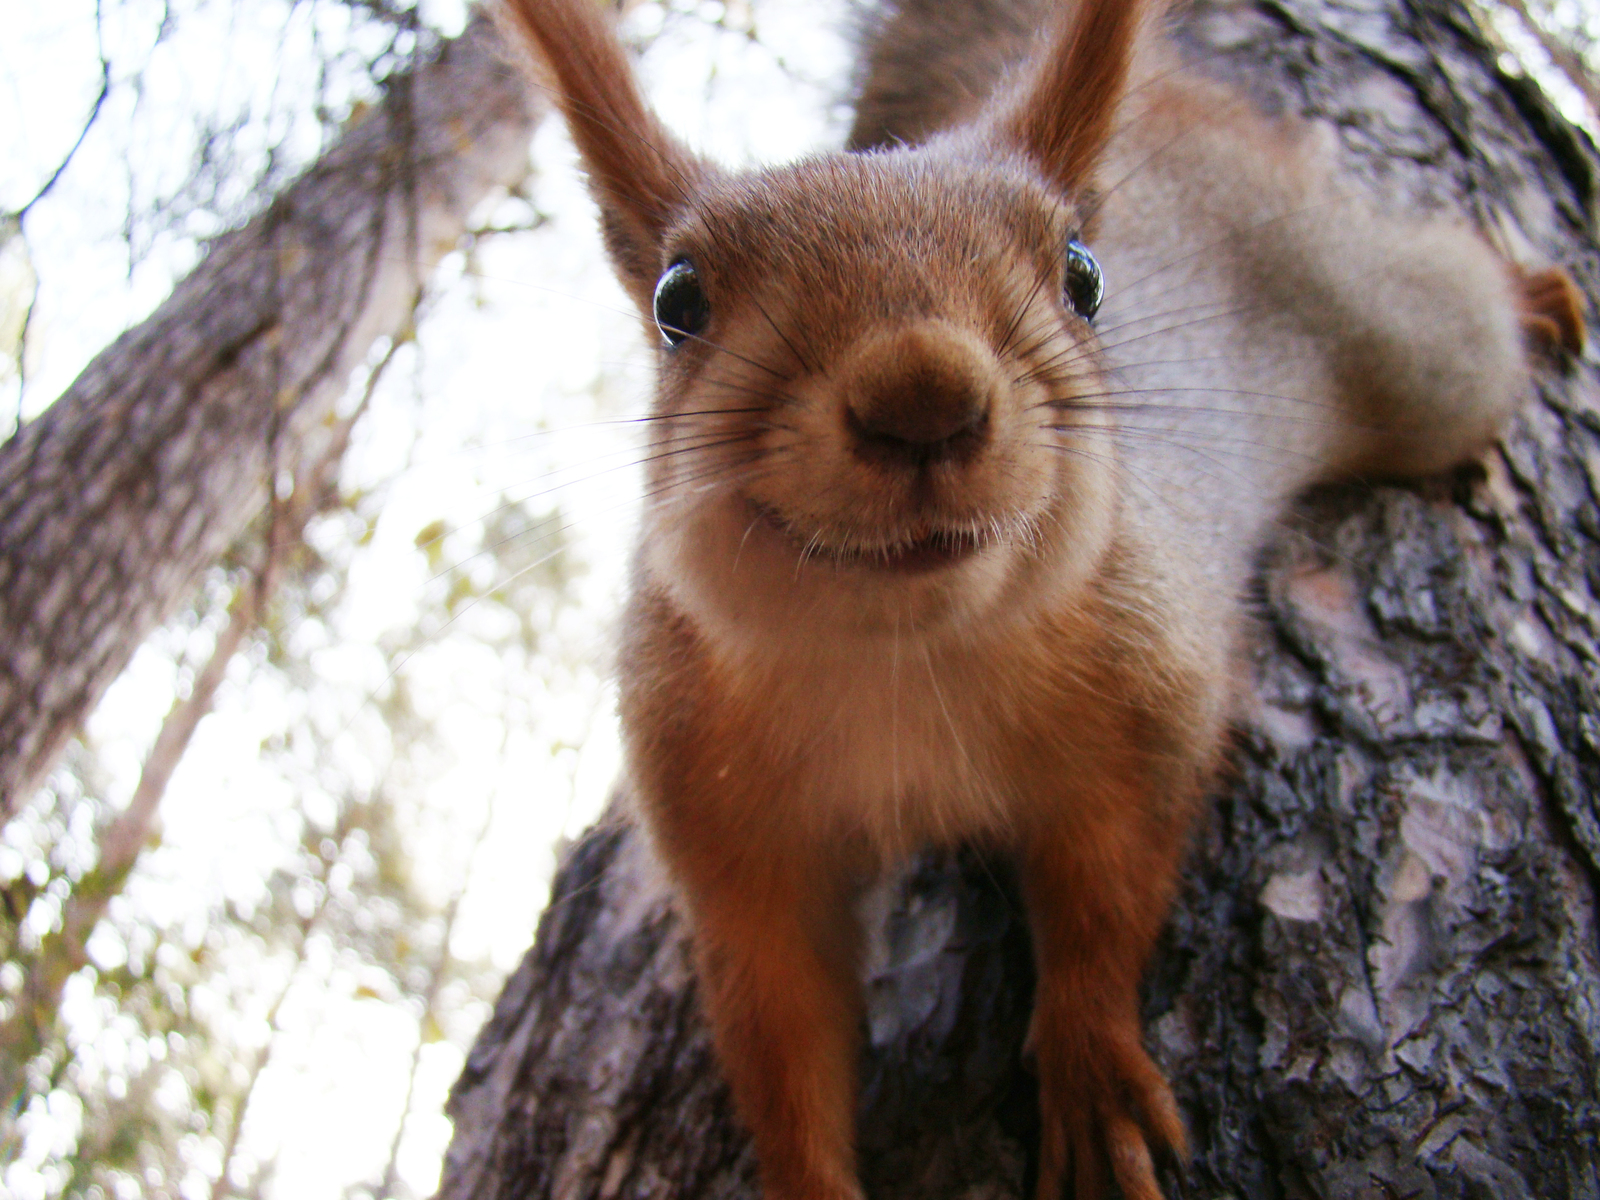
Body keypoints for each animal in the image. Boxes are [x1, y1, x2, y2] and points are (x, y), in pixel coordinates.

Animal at [489, 2, 1587, 1200]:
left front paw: (1092, 1073)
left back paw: (1534, 293)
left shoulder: (1152, 706)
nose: (923, 392)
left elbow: (1106, 900)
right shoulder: (726, 832)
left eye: (1084, 277)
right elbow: (780, 1034)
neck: (902, 657)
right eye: (677, 302)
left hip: (1410, 352)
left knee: (1449, 300)